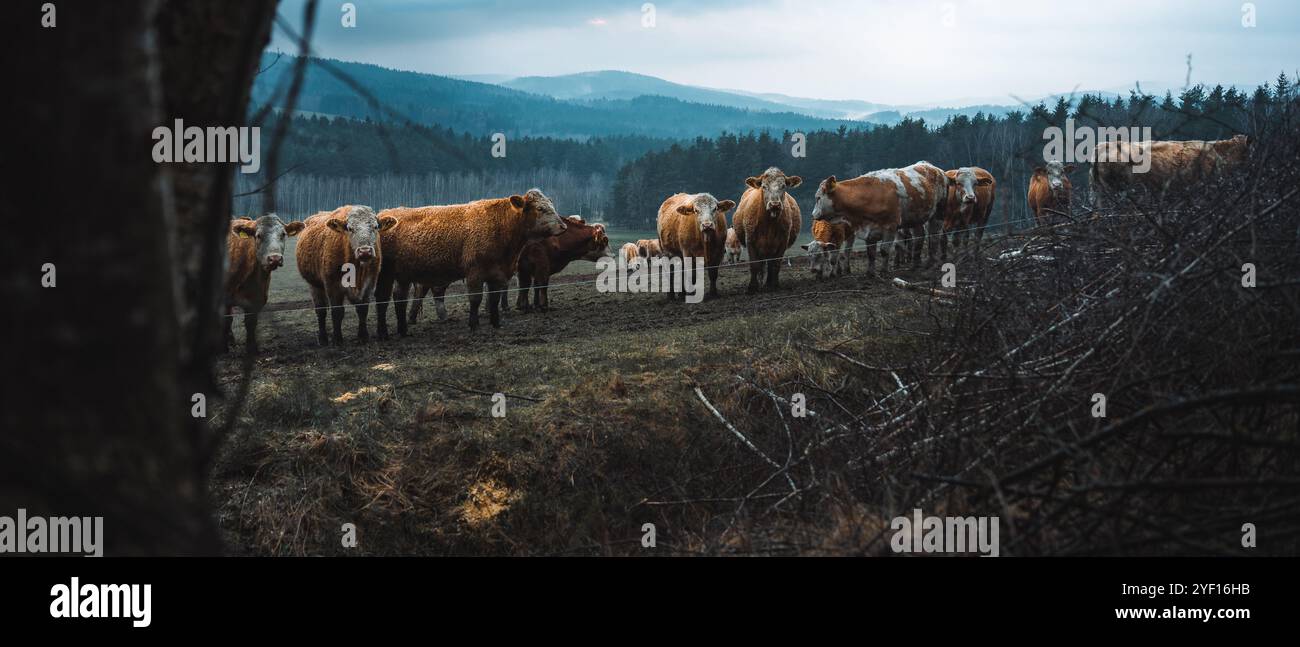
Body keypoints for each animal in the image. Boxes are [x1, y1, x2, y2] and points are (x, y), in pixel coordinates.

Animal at [224, 214, 304, 353]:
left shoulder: (257, 299)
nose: (275, 258)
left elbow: (251, 323)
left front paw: (252, 349)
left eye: (283, 234)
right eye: (258, 235)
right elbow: (226, 320)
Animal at [295, 205, 396, 346]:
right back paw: (323, 339)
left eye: (375, 227)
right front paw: (337, 339)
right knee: (320, 310)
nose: (365, 251)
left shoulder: (369, 284)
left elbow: (363, 309)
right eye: (350, 228)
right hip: (314, 284)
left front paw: (363, 336)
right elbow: (337, 311)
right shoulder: (333, 285)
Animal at [375, 189, 567, 333]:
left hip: (403, 276)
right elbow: (476, 299)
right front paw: (474, 324)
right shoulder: (475, 272)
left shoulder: (498, 274)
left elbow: (494, 299)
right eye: (540, 208)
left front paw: (496, 323)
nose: (563, 226)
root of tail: (385, 212)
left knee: (399, 298)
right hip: (387, 275)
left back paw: (403, 329)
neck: (501, 225)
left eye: (551, 205)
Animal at [810, 160, 947, 275]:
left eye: (818, 198)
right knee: (919, 237)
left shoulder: (890, 227)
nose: (813, 214)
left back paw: (931, 263)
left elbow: (884, 251)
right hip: (916, 218)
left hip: (938, 213)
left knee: (934, 237)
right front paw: (870, 273)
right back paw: (915, 265)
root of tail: (934, 168)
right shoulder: (869, 230)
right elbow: (870, 254)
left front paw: (883, 271)